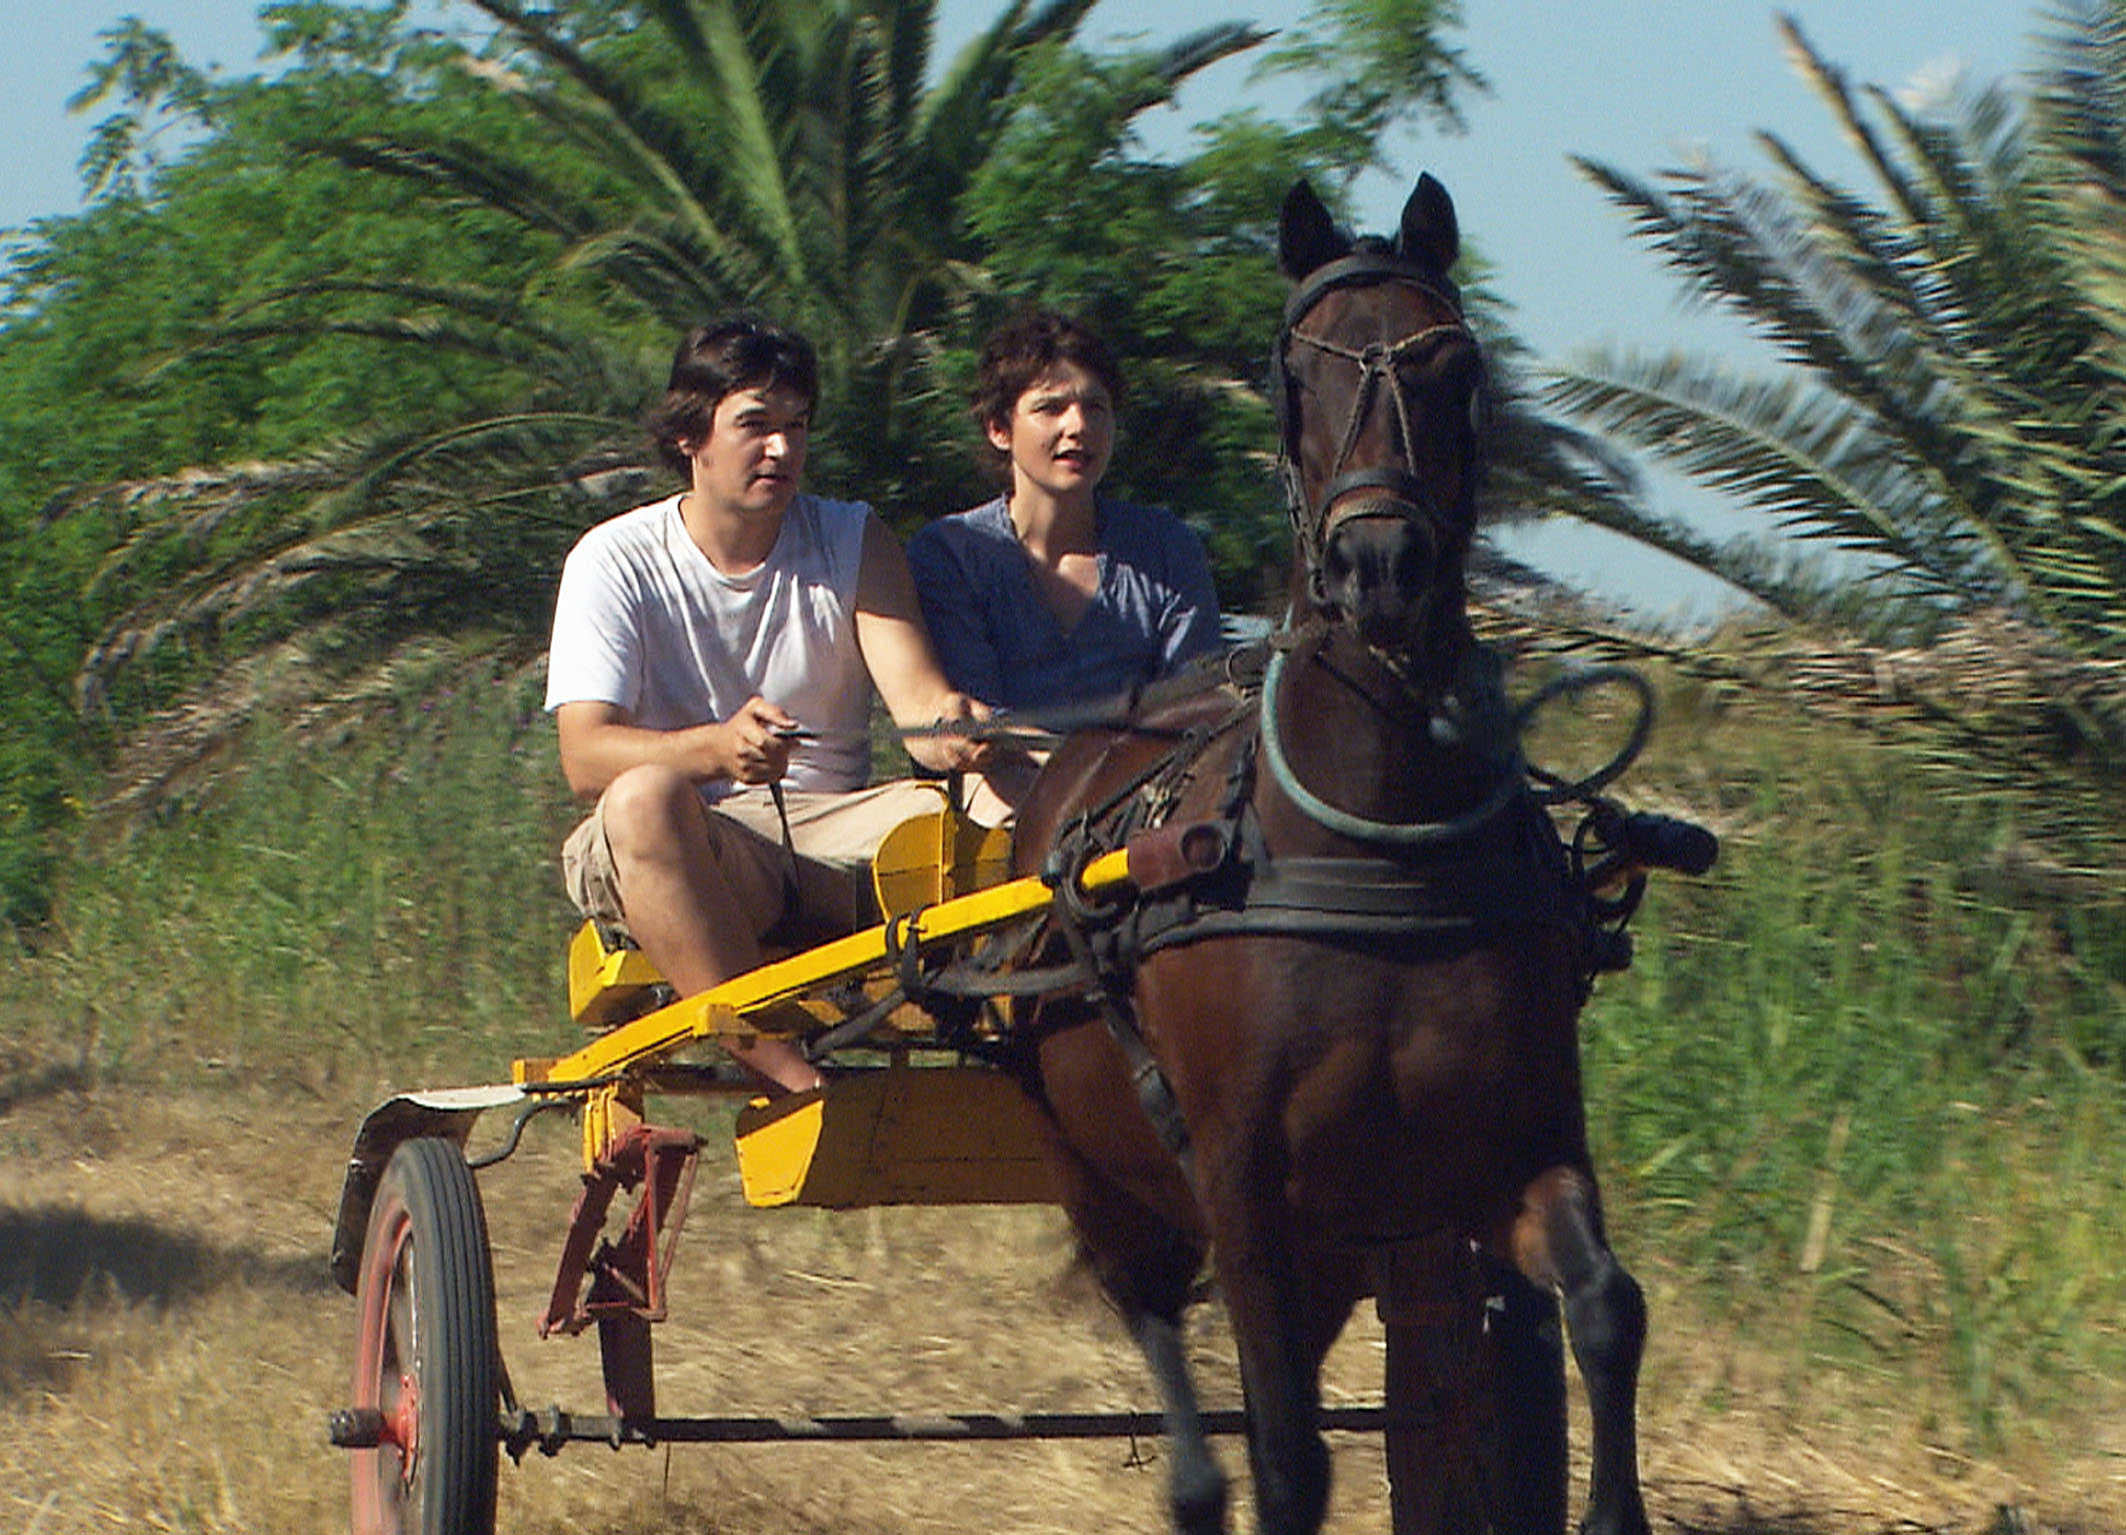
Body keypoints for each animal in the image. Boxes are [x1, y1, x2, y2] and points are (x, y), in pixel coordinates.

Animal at [1003, 173, 1649, 1522]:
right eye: (1292, 371)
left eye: (1457, 364)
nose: (1378, 561)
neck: (1377, 848)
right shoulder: (1247, 1193)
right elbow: (1285, 1456)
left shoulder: (1508, 1148)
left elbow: (1606, 1308)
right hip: (1104, 1180)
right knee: (1179, 1389)